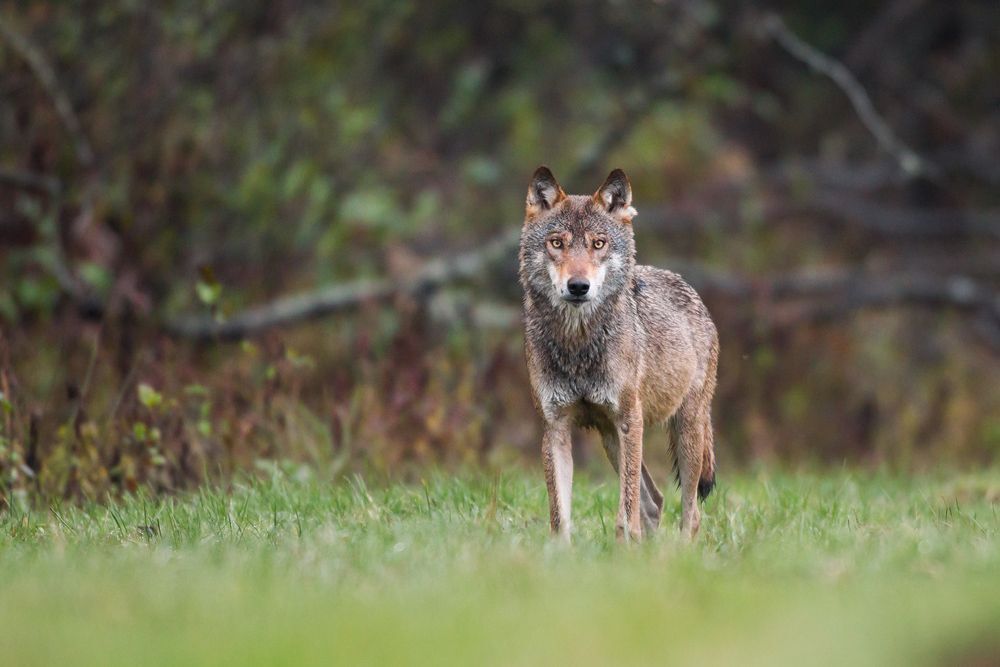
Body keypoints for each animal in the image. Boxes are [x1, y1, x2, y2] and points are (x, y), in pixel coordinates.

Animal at [519, 166, 719, 541]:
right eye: (557, 243)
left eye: (599, 243)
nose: (578, 286)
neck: (579, 345)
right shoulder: (555, 427)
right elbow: (559, 516)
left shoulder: (629, 421)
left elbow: (625, 513)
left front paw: (624, 547)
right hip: (611, 439)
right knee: (654, 501)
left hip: (684, 430)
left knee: (690, 512)